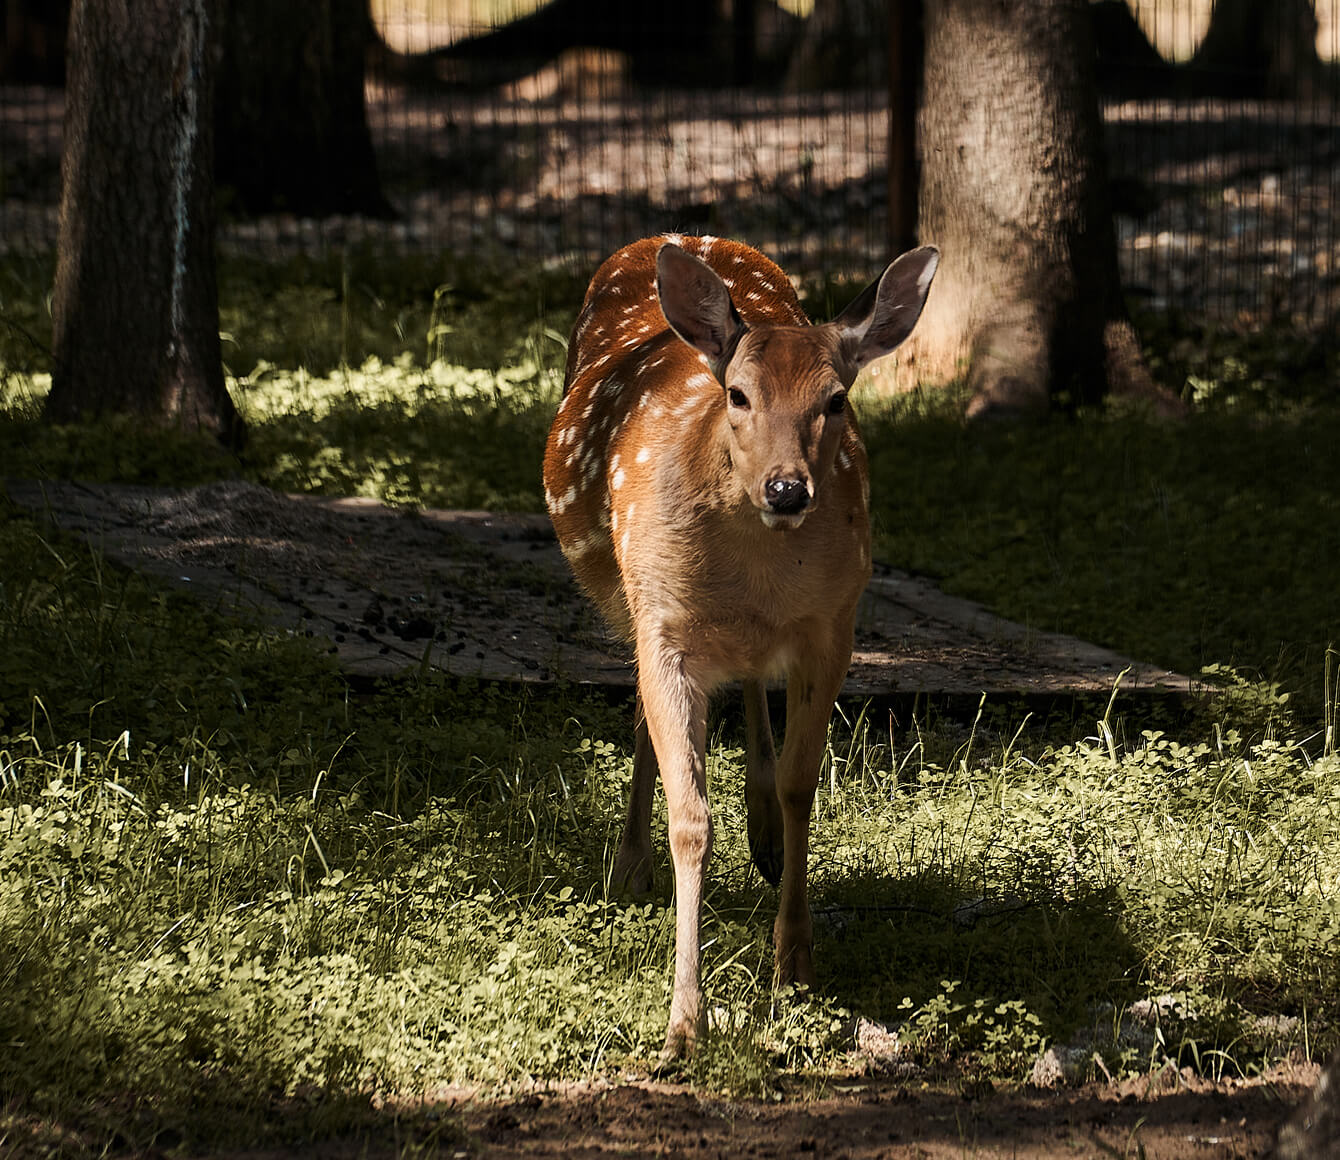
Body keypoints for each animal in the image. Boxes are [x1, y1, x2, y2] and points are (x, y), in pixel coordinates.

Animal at [543, 233, 938, 1057]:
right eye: (738, 395)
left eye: (836, 399)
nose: (787, 490)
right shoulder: (661, 622)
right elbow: (690, 818)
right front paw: (682, 1024)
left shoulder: (835, 624)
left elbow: (800, 783)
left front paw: (795, 960)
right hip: (628, 595)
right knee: (646, 715)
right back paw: (630, 869)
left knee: (752, 680)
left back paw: (761, 835)